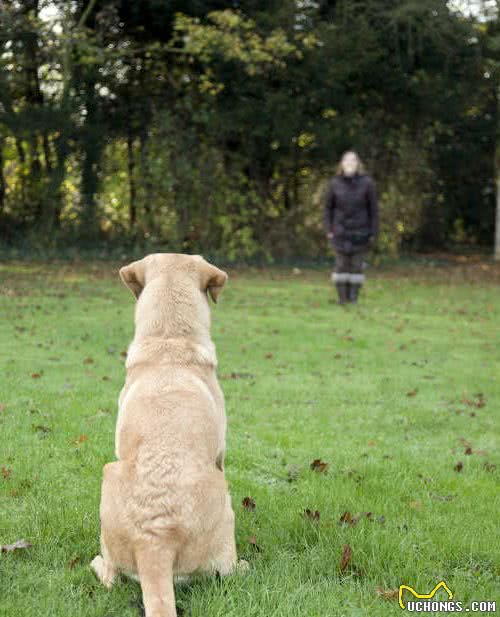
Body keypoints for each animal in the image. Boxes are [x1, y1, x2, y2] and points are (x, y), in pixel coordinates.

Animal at [92, 251, 244, 616]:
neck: (169, 341)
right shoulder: (221, 455)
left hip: (109, 472)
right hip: (223, 494)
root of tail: (155, 540)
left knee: (113, 575)